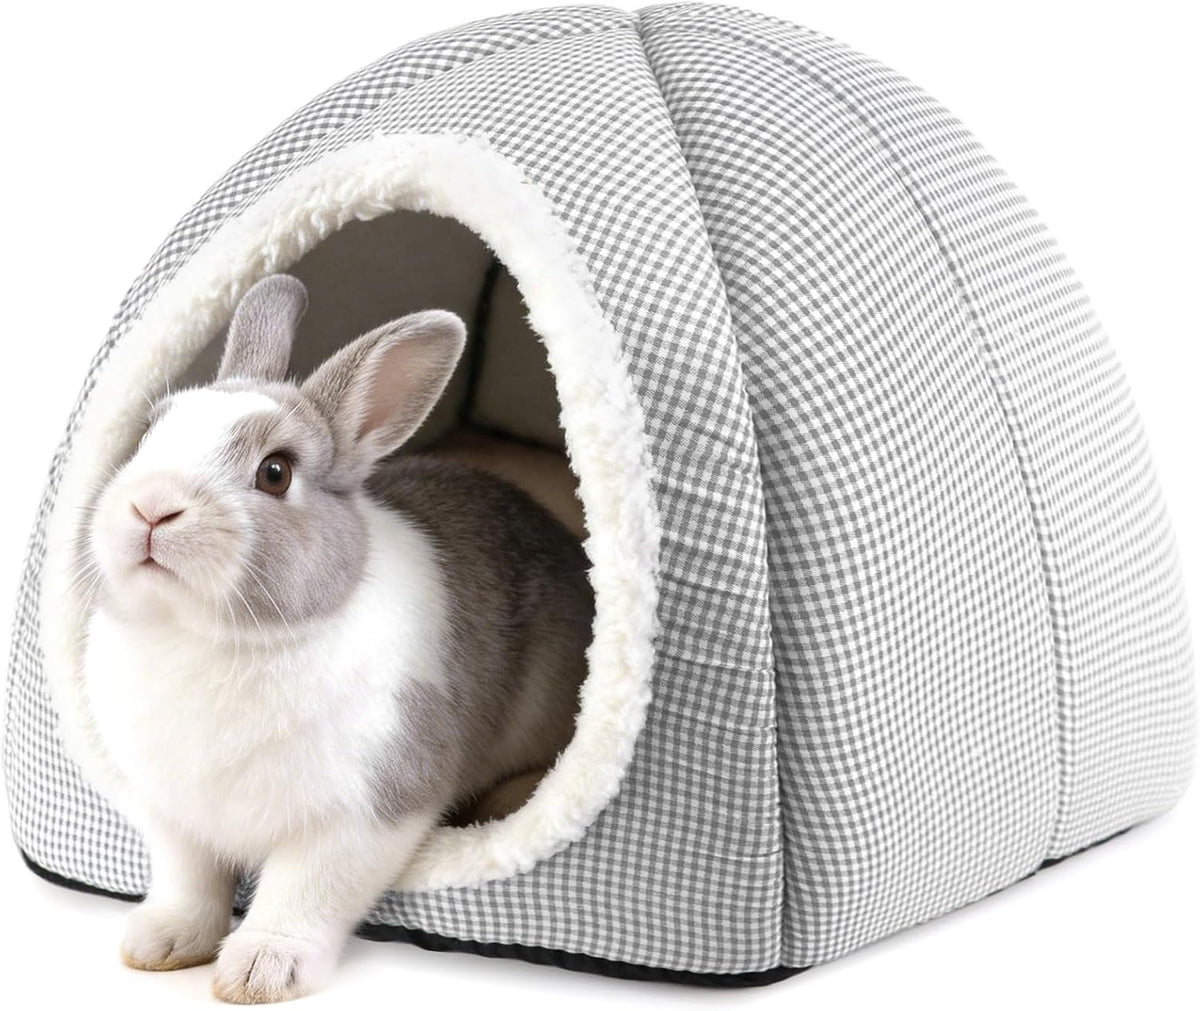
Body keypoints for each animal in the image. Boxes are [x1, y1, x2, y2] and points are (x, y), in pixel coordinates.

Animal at [78, 273, 594, 1004]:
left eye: (275, 472)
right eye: (150, 433)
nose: (151, 506)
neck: (212, 638)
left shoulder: (361, 813)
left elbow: (304, 894)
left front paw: (259, 973)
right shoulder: (176, 818)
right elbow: (189, 881)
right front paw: (160, 944)